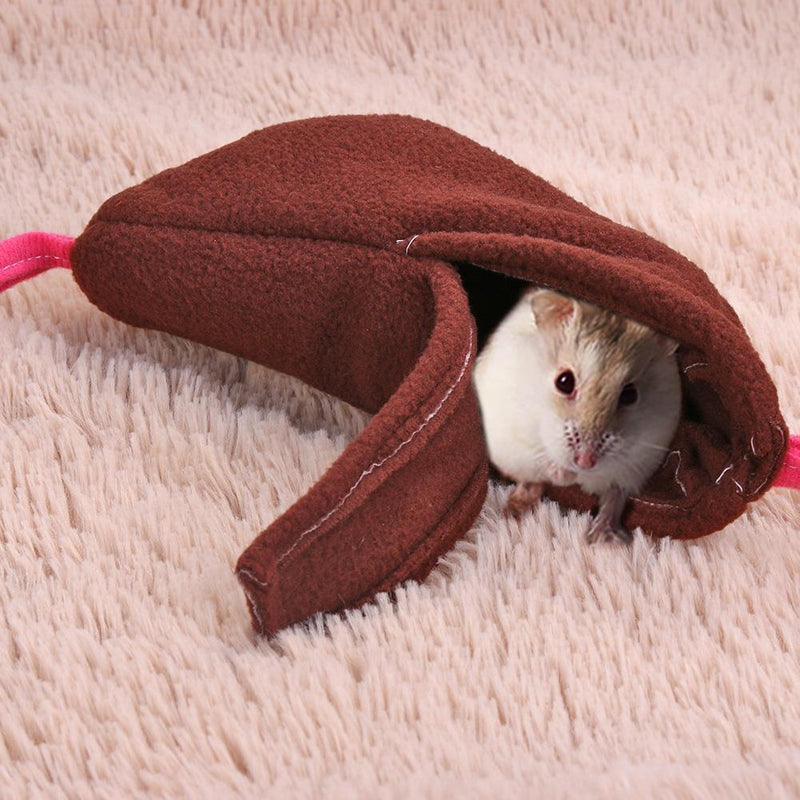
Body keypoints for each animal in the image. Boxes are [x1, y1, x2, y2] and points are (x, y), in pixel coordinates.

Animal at [473, 288, 682, 543]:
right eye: (564, 381)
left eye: (631, 395)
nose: (585, 462)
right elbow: (544, 458)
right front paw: (565, 474)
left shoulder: (638, 462)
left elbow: (615, 491)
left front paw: (600, 538)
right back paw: (513, 511)